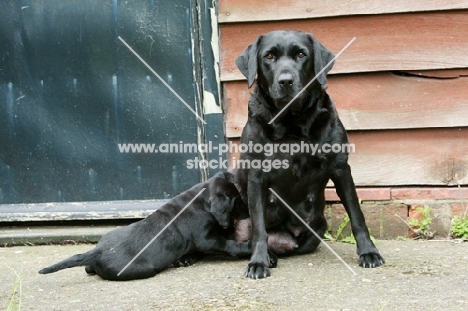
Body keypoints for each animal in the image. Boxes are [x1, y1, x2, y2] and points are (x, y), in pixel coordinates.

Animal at [39, 172, 252, 282]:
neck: (200, 199)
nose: (250, 211)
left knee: (88, 268)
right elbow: (229, 245)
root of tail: (97, 252)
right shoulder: (207, 239)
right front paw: (248, 247)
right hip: (143, 270)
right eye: (236, 200)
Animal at [234, 30, 384, 280]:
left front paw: (368, 252)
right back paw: (268, 256)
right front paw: (258, 262)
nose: (286, 81)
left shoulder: (341, 168)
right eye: (269, 56)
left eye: (301, 54)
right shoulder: (256, 175)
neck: (291, 122)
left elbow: (356, 215)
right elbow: (259, 227)